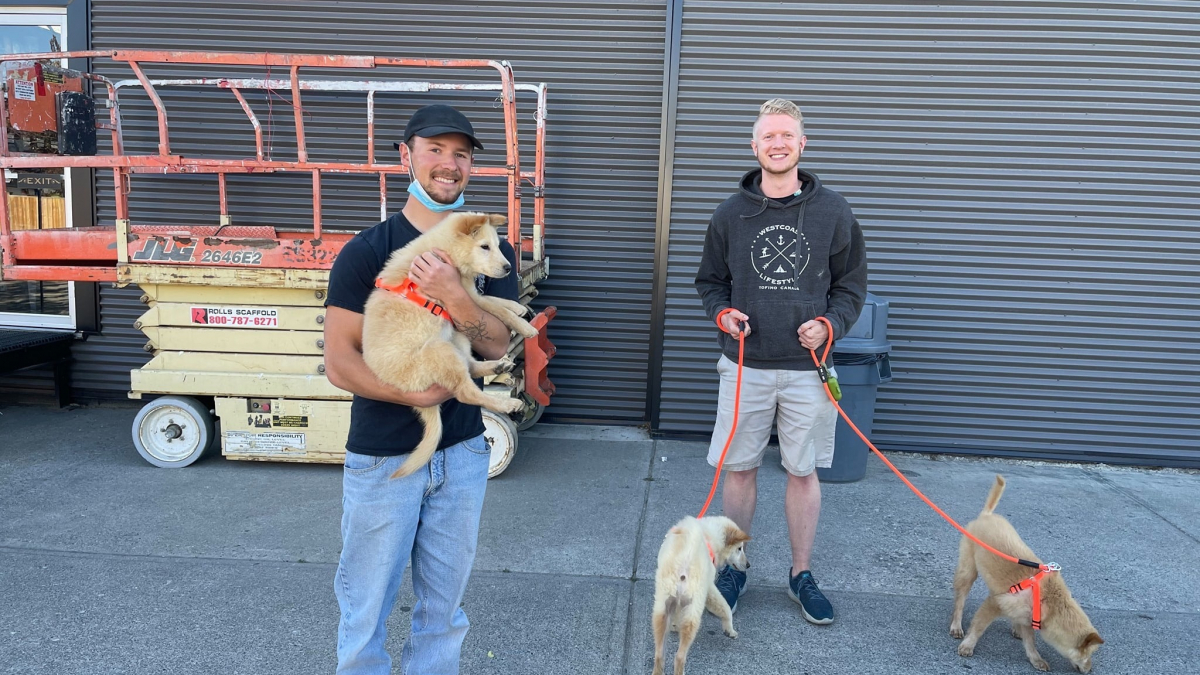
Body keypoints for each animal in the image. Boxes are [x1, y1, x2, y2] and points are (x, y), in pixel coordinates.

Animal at [360, 210, 540, 478]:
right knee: (466, 391)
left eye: (497, 246)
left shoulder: (466, 295)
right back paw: (507, 403)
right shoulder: (464, 293)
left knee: (471, 367)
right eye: (484, 247)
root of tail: (411, 393)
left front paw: (517, 307)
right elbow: (495, 307)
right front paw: (525, 326)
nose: (509, 267)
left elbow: (494, 300)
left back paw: (498, 366)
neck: (441, 250)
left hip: (457, 335)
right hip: (440, 349)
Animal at [652, 514, 753, 672]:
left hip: (661, 608)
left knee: (659, 655)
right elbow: (725, 608)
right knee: (679, 656)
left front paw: (674, 625)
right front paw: (729, 629)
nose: (748, 565)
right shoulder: (709, 588)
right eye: (739, 548)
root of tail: (682, 566)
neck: (709, 533)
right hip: (694, 609)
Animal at [945, 475, 1104, 667]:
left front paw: (1036, 659)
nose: (1090, 669)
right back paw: (956, 625)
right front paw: (968, 645)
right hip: (968, 571)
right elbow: (979, 626)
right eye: (1088, 654)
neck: (1049, 599)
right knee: (960, 601)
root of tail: (986, 516)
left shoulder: (1030, 618)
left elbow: (1030, 641)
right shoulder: (995, 603)